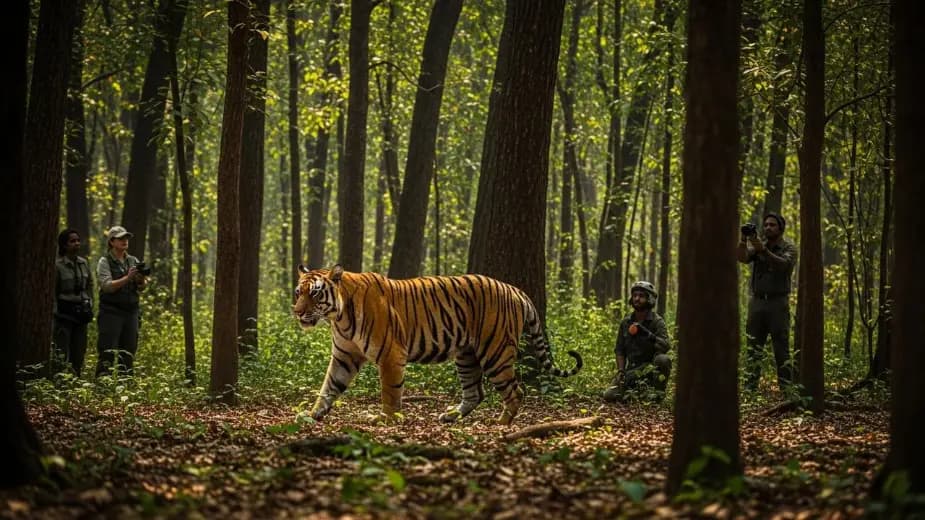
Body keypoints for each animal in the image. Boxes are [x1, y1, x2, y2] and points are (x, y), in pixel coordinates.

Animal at [292, 264, 582, 425]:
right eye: (298, 292)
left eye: (315, 293)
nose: (297, 312)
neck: (338, 317)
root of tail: (515, 289)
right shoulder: (344, 356)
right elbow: (329, 386)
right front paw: (312, 414)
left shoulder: (390, 355)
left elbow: (390, 392)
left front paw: (386, 419)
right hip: (466, 355)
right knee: (475, 392)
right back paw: (451, 416)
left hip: (495, 351)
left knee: (515, 390)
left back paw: (501, 422)